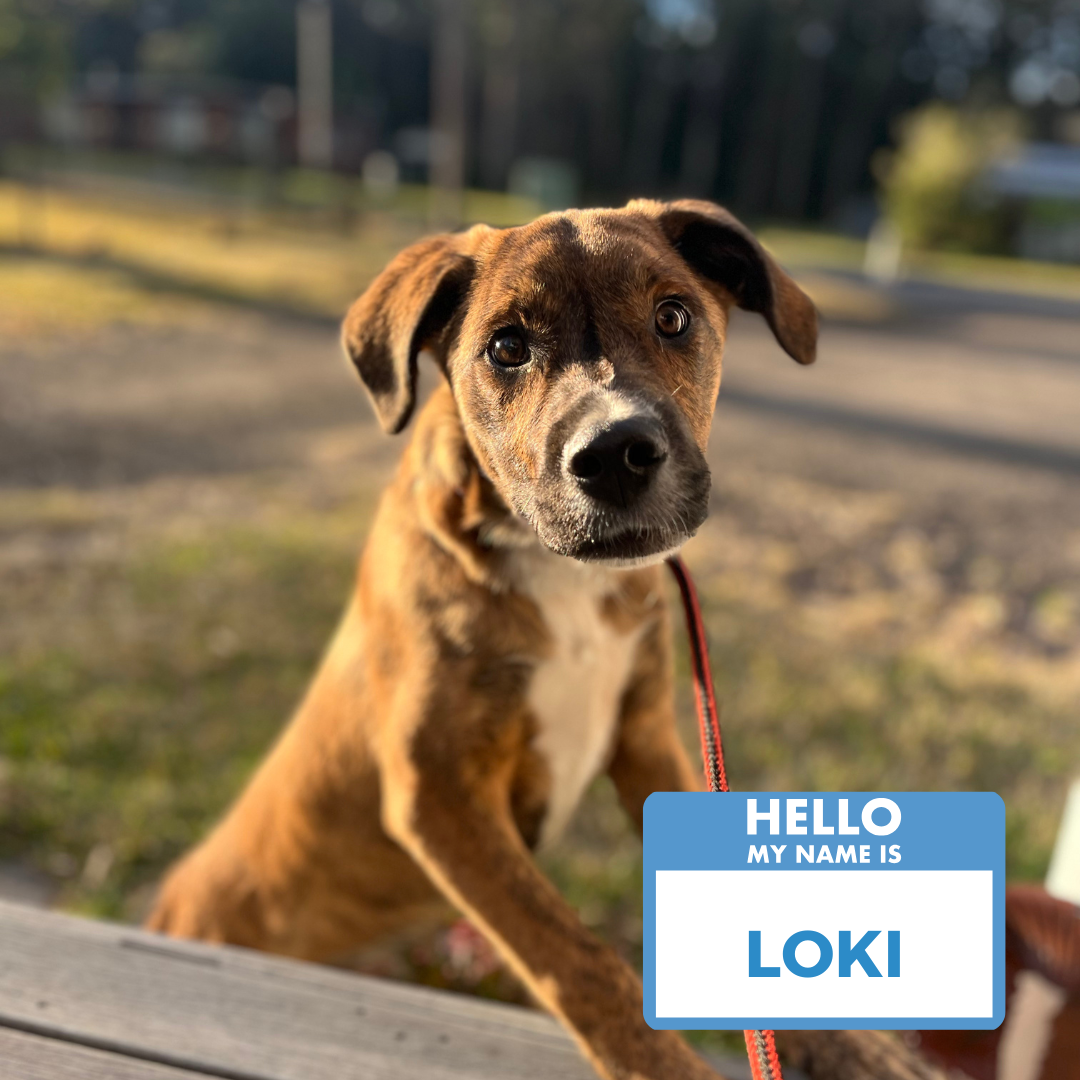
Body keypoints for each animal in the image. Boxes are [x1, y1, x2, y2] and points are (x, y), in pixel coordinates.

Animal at [147, 200, 927, 1080]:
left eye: (673, 316)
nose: (616, 455)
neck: (558, 573)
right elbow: (574, 957)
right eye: (507, 347)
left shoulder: (648, 742)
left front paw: (849, 1046)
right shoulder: (439, 793)